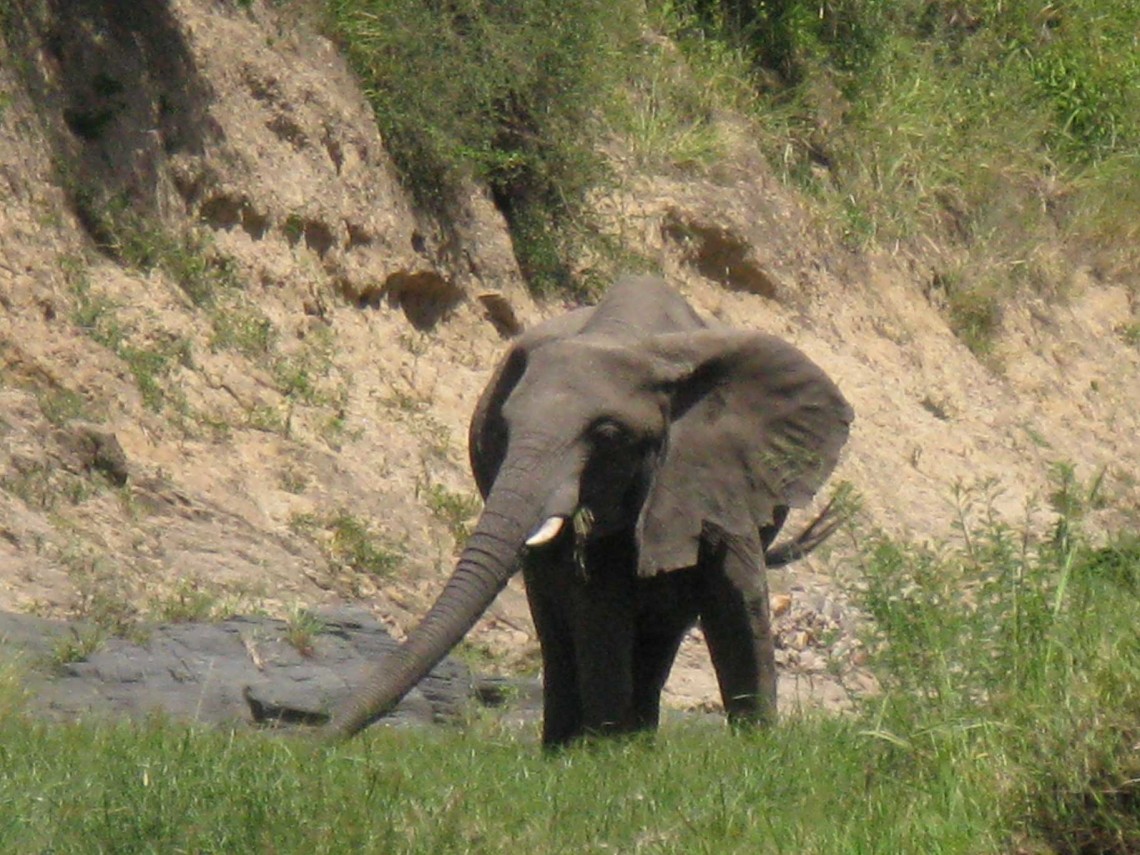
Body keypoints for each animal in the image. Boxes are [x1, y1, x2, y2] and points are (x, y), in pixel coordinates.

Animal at [326, 275, 852, 747]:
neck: (634, 340)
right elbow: (601, 604)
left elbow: (736, 596)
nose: (315, 745)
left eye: (607, 435)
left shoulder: (721, 470)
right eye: (503, 428)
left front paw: (757, 748)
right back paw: (569, 747)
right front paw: (605, 755)